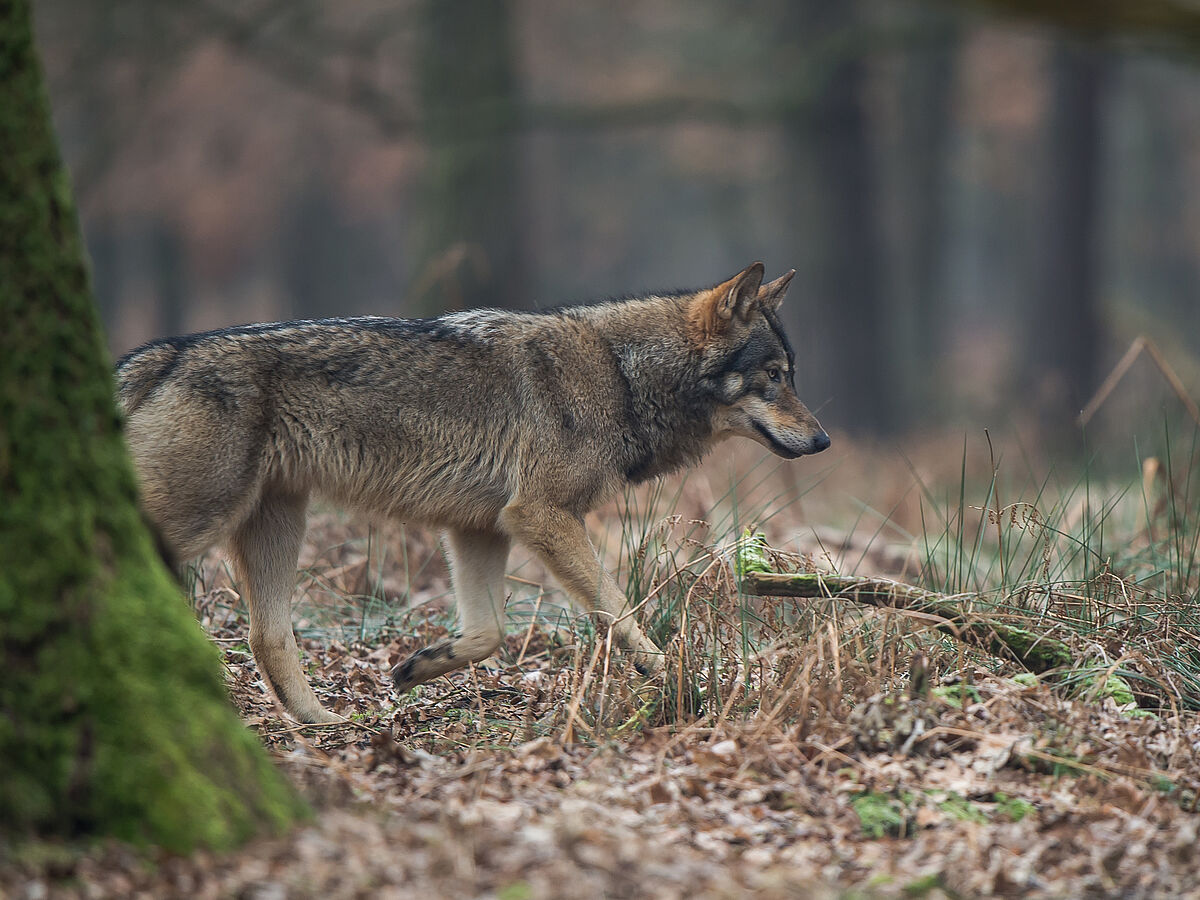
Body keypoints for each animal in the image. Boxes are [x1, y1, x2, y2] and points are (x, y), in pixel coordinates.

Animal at [117, 262, 830, 724]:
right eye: (774, 377)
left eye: (791, 375)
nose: (823, 440)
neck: (621, 376)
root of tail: (166, 352)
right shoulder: (540, 516)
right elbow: (618, 611)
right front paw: (678, 681)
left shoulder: (481, 528)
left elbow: (487, 635)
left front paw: (417, 667)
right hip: (202, 518)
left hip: (275, 524)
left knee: (266, 636)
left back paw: (327, 723)